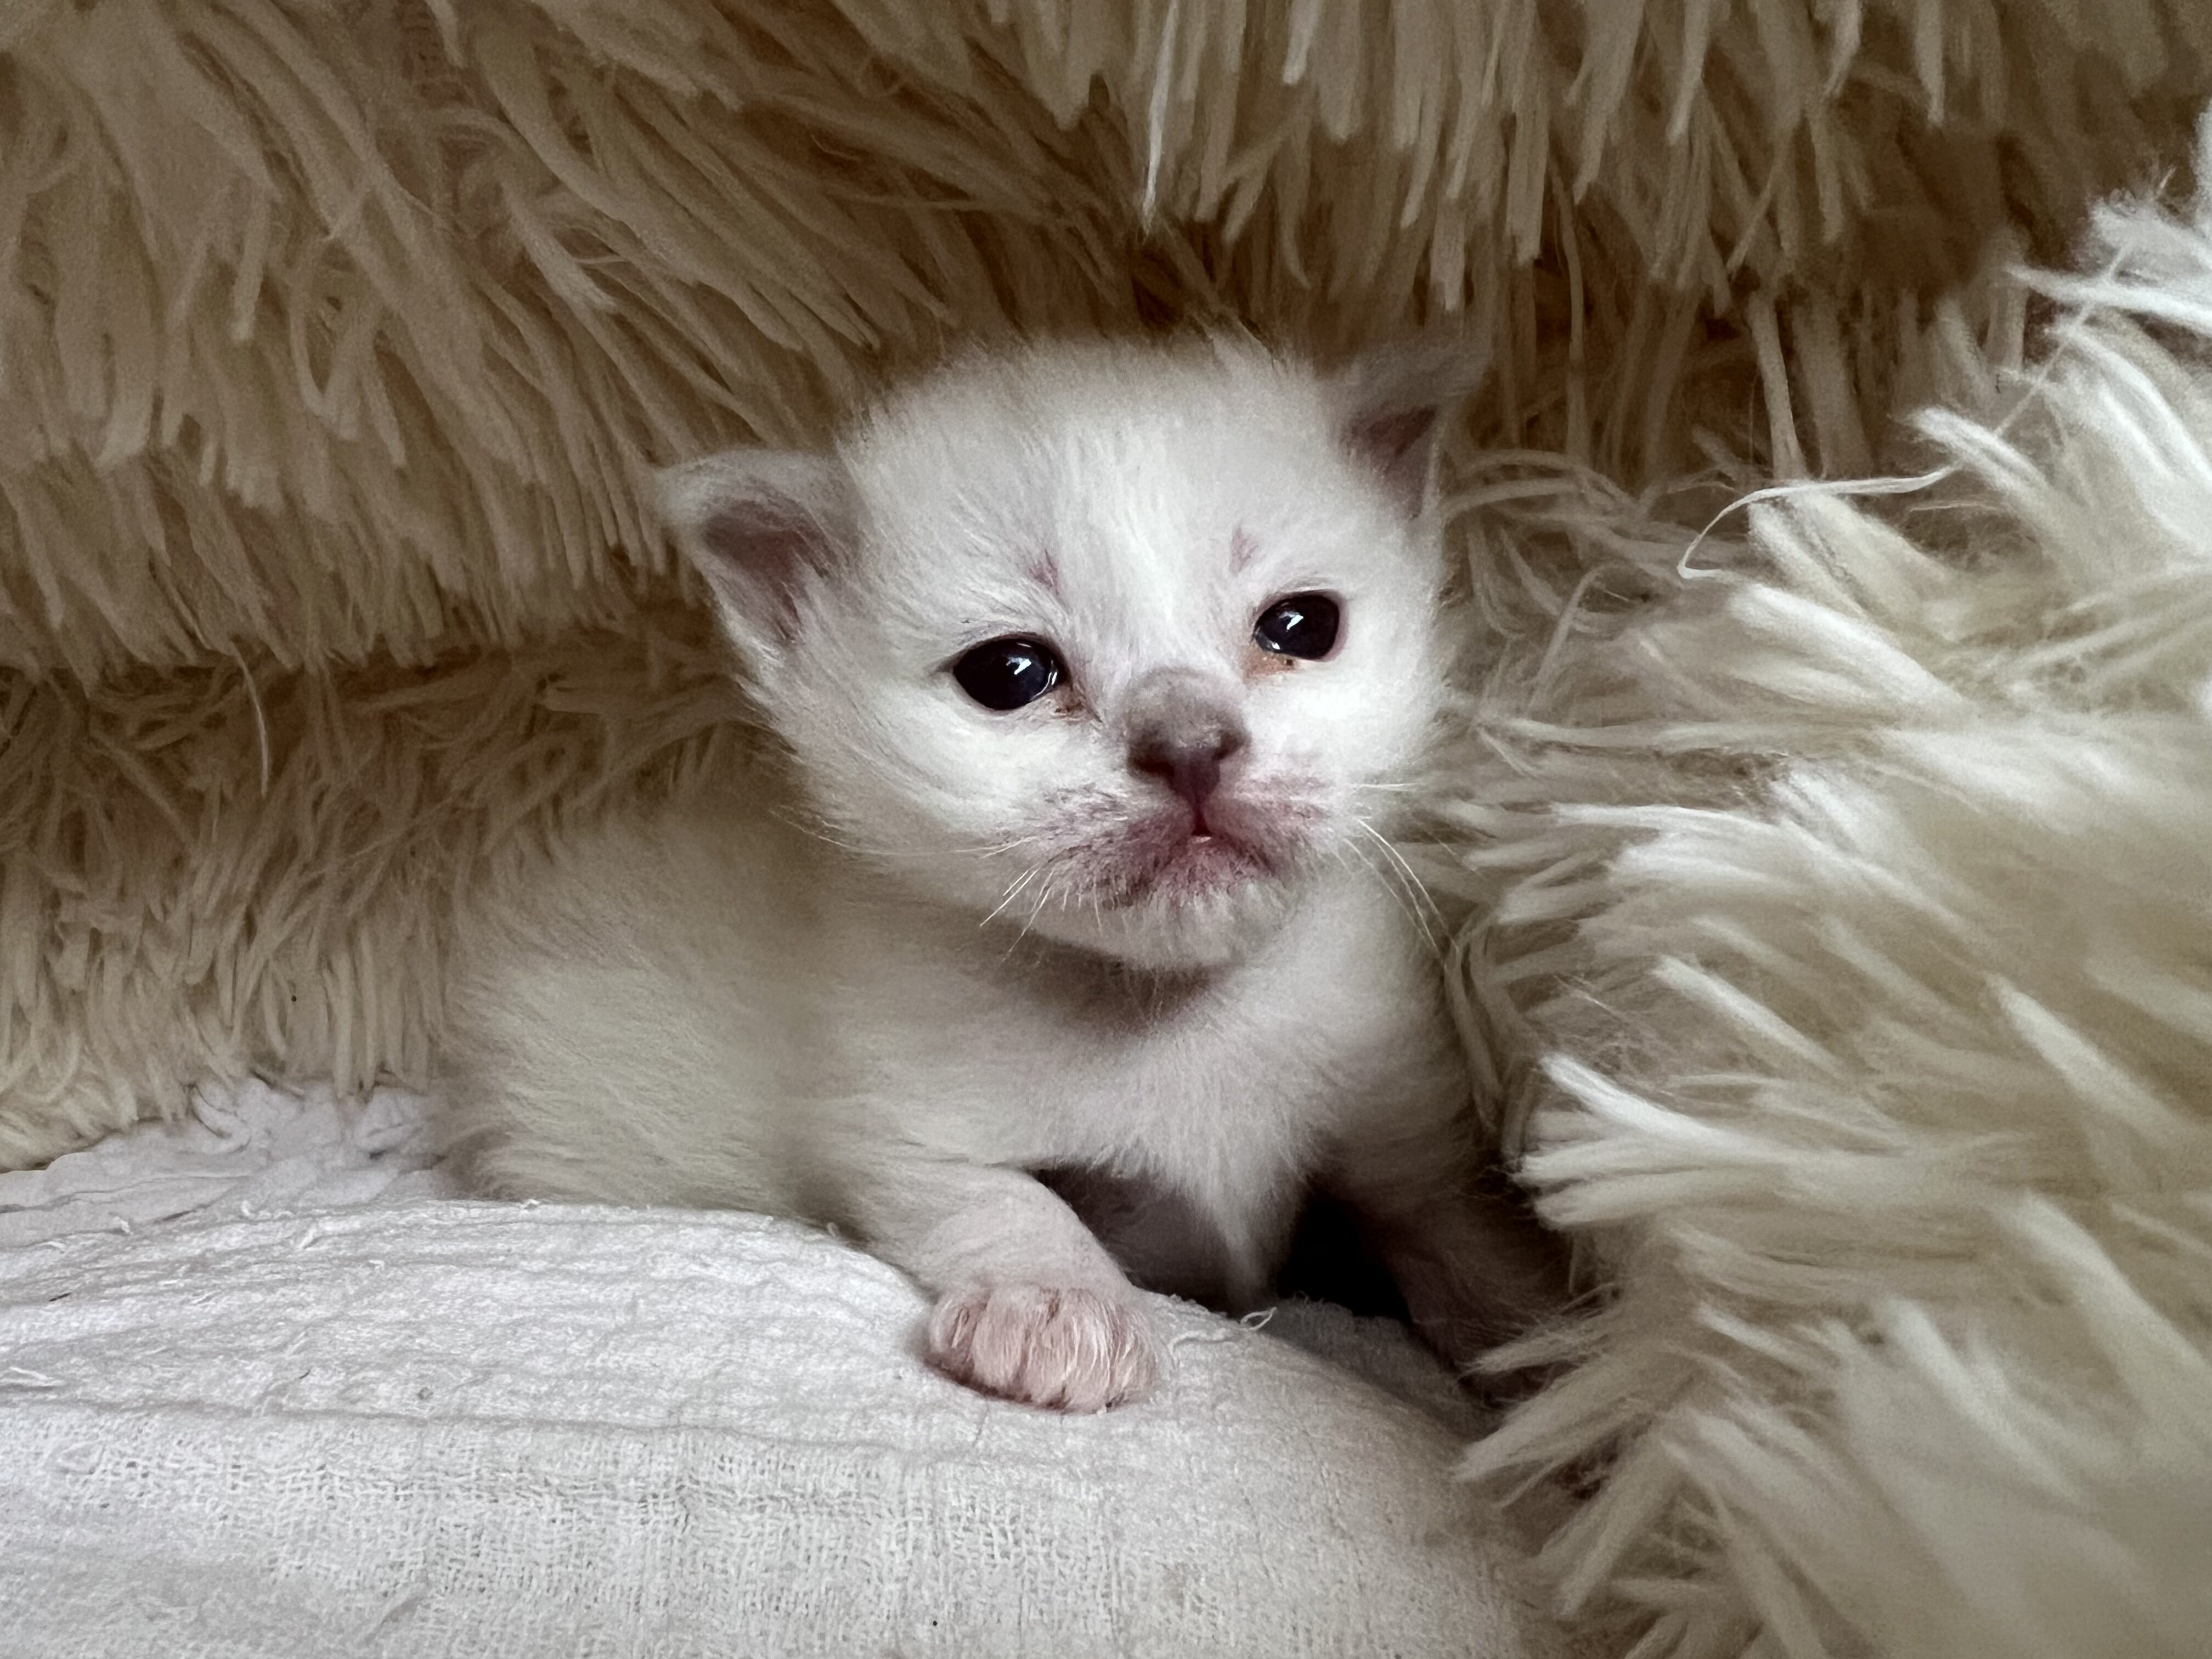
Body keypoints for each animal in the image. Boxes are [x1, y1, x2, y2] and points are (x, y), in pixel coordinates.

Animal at [441, 335, 1566, 1412]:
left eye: (1299, 627)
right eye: (1011, 673)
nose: (1190, 746)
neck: (1168, 1004)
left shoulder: (1403, 1122)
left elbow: (1458, 1225)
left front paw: (1556, 1345)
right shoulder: (893, 1125)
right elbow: (999, 1197)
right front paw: (1057, 1308)